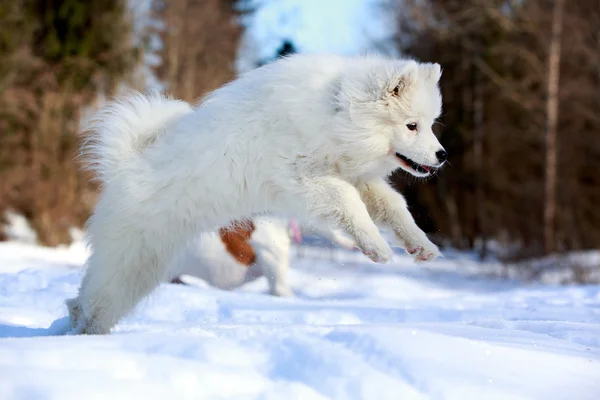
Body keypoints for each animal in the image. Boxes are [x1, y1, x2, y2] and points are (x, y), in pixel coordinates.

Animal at [68, 53, 448, 334]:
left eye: (430, 125)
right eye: (411, 126)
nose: (443, 155)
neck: (336, 112)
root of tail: (122, 168)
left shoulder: (354, 177)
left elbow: (393, 205)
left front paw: (421, 245)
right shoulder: (303, 179)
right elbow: (350, 204)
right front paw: (376, 247)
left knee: (82, 300)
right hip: (131, 266)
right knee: (96, 304)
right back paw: (85, 338)